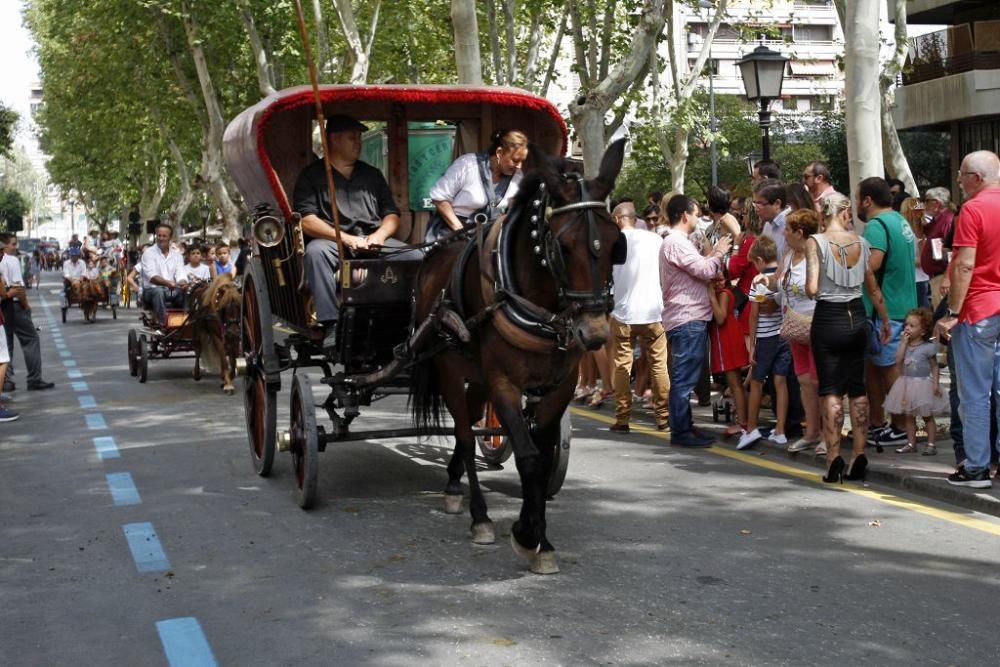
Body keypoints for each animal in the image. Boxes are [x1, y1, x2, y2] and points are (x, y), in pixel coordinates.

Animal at [406, 137, 624, 576]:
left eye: (615, 244)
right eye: (564, 246)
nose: (594, 334)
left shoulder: (559, 385)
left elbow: (541, 452)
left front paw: (538, 536)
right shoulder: (503, 383)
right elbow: (527, 455)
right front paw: (526, 535)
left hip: (475, 374)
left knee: (472, 422)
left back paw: (453, 480)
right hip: (450, 369)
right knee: (463, 433)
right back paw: (478, 515)